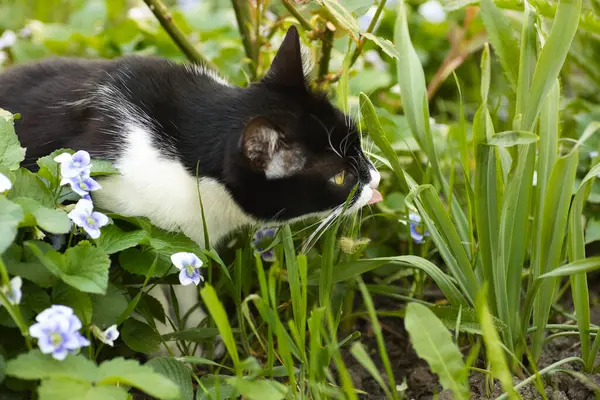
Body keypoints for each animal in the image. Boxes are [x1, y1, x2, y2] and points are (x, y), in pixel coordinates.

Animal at [0, 25, 382, 354]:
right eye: (340, 178)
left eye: (357, 143)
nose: (376, 180)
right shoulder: (132, 226)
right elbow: (148, 292)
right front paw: (174, 351)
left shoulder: (182, 239)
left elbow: (184, 283)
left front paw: (200, 335)